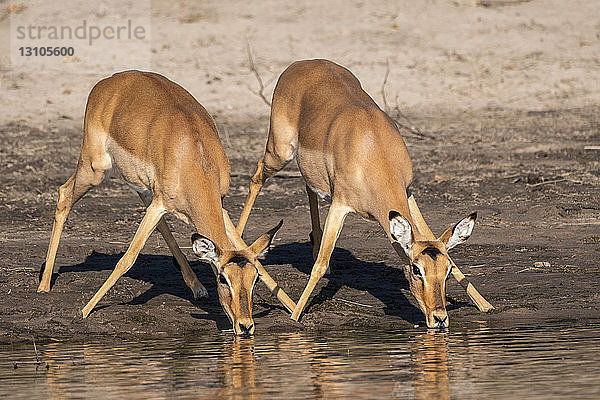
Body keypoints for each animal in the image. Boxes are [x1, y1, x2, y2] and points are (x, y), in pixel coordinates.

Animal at [35, 69, 296, 334]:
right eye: (223, 278)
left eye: (253, 280)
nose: (245, 326)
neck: (194, 155)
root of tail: (108, 81)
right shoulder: (159, 205)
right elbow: (127, 259)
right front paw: (84, 311)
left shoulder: (217, 205)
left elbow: (247, 249)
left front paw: (294, 309)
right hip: (95, 168)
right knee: (64, 193)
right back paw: (44, 286)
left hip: (141, 186)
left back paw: (197, 288)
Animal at [234, 60, 492, 328]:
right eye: (416, 269)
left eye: (446, 270)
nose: (439, 318)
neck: (373, 150)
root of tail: (300, 64)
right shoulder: (340, 205)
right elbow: (320, 265)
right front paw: (294, 316)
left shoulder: (408, 193)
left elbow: (431, 235)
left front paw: (485, 305)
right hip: (280, 152)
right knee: (257, 174)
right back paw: (238, 239)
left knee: (308, 188)